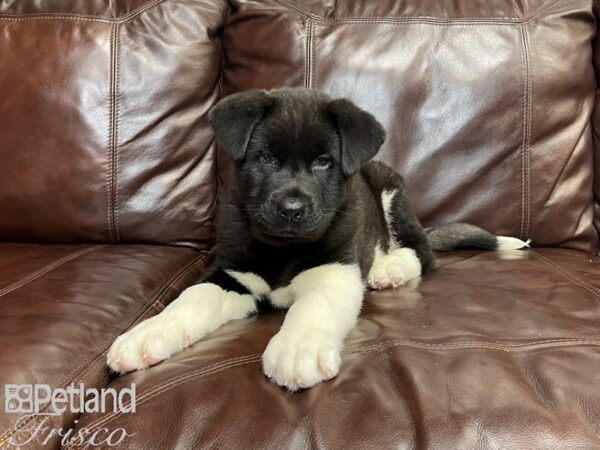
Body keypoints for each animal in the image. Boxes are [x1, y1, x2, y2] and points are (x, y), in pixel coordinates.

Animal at [106, 88, 524, 390]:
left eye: (323, 163)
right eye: (265, 158)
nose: (292, 209)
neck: (281, 247)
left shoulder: (335, 270)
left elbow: (313, 306)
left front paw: (297, 348)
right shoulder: (231, 273)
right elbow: (190, 299)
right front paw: (147, 334)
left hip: (390, 190)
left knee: (421, 252)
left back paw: (389, 268)